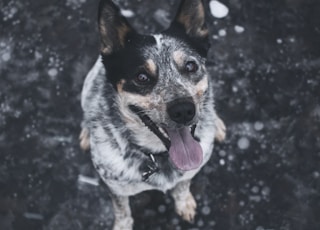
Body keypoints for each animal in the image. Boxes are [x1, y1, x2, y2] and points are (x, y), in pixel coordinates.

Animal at [79, 0, 225, 228]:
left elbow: (183, 186)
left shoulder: (189, 171)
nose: (183, 110)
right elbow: (122, 211)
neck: (159, 155)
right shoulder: (115, 187)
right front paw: (122, 225)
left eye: (191, 66)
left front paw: (184, 203)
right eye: (141, 77)